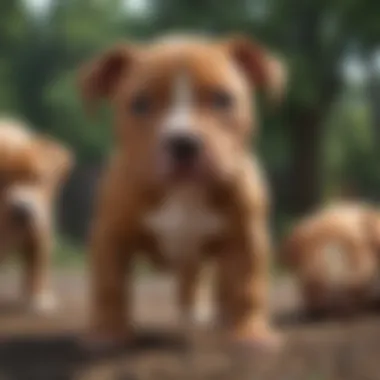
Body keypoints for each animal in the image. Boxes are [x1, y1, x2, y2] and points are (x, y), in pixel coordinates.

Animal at [78, 33, 286, 350]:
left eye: (222, 99)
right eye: (140, 104)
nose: (183, 142)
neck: (184, 193)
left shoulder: (245, 237)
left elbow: (246, 286)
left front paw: (249, 333)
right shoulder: (110, 237)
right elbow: (109, 286)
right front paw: (108, 332)